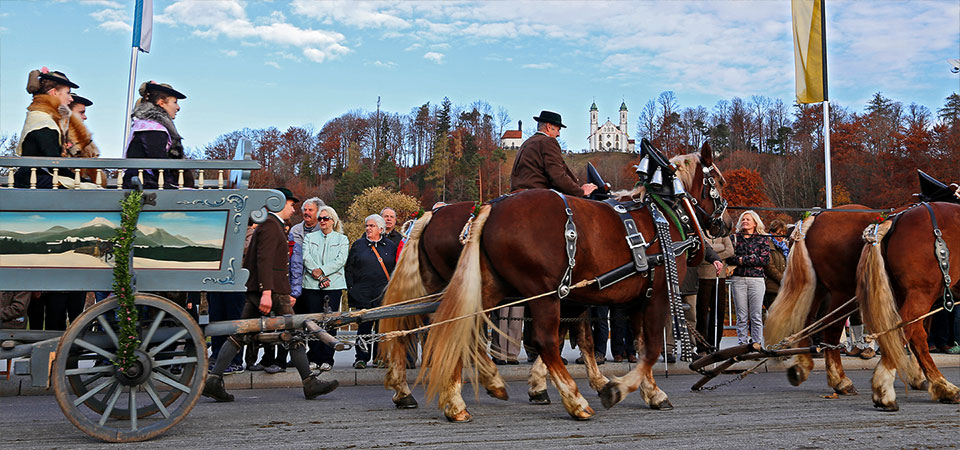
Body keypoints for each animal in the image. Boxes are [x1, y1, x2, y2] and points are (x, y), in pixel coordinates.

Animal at [856, 202, 960, 410]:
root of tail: (895, 218)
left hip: (905, 294)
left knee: (915, 336)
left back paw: (944, 387)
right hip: (921, 294)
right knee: (900, 330)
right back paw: (884, 390)